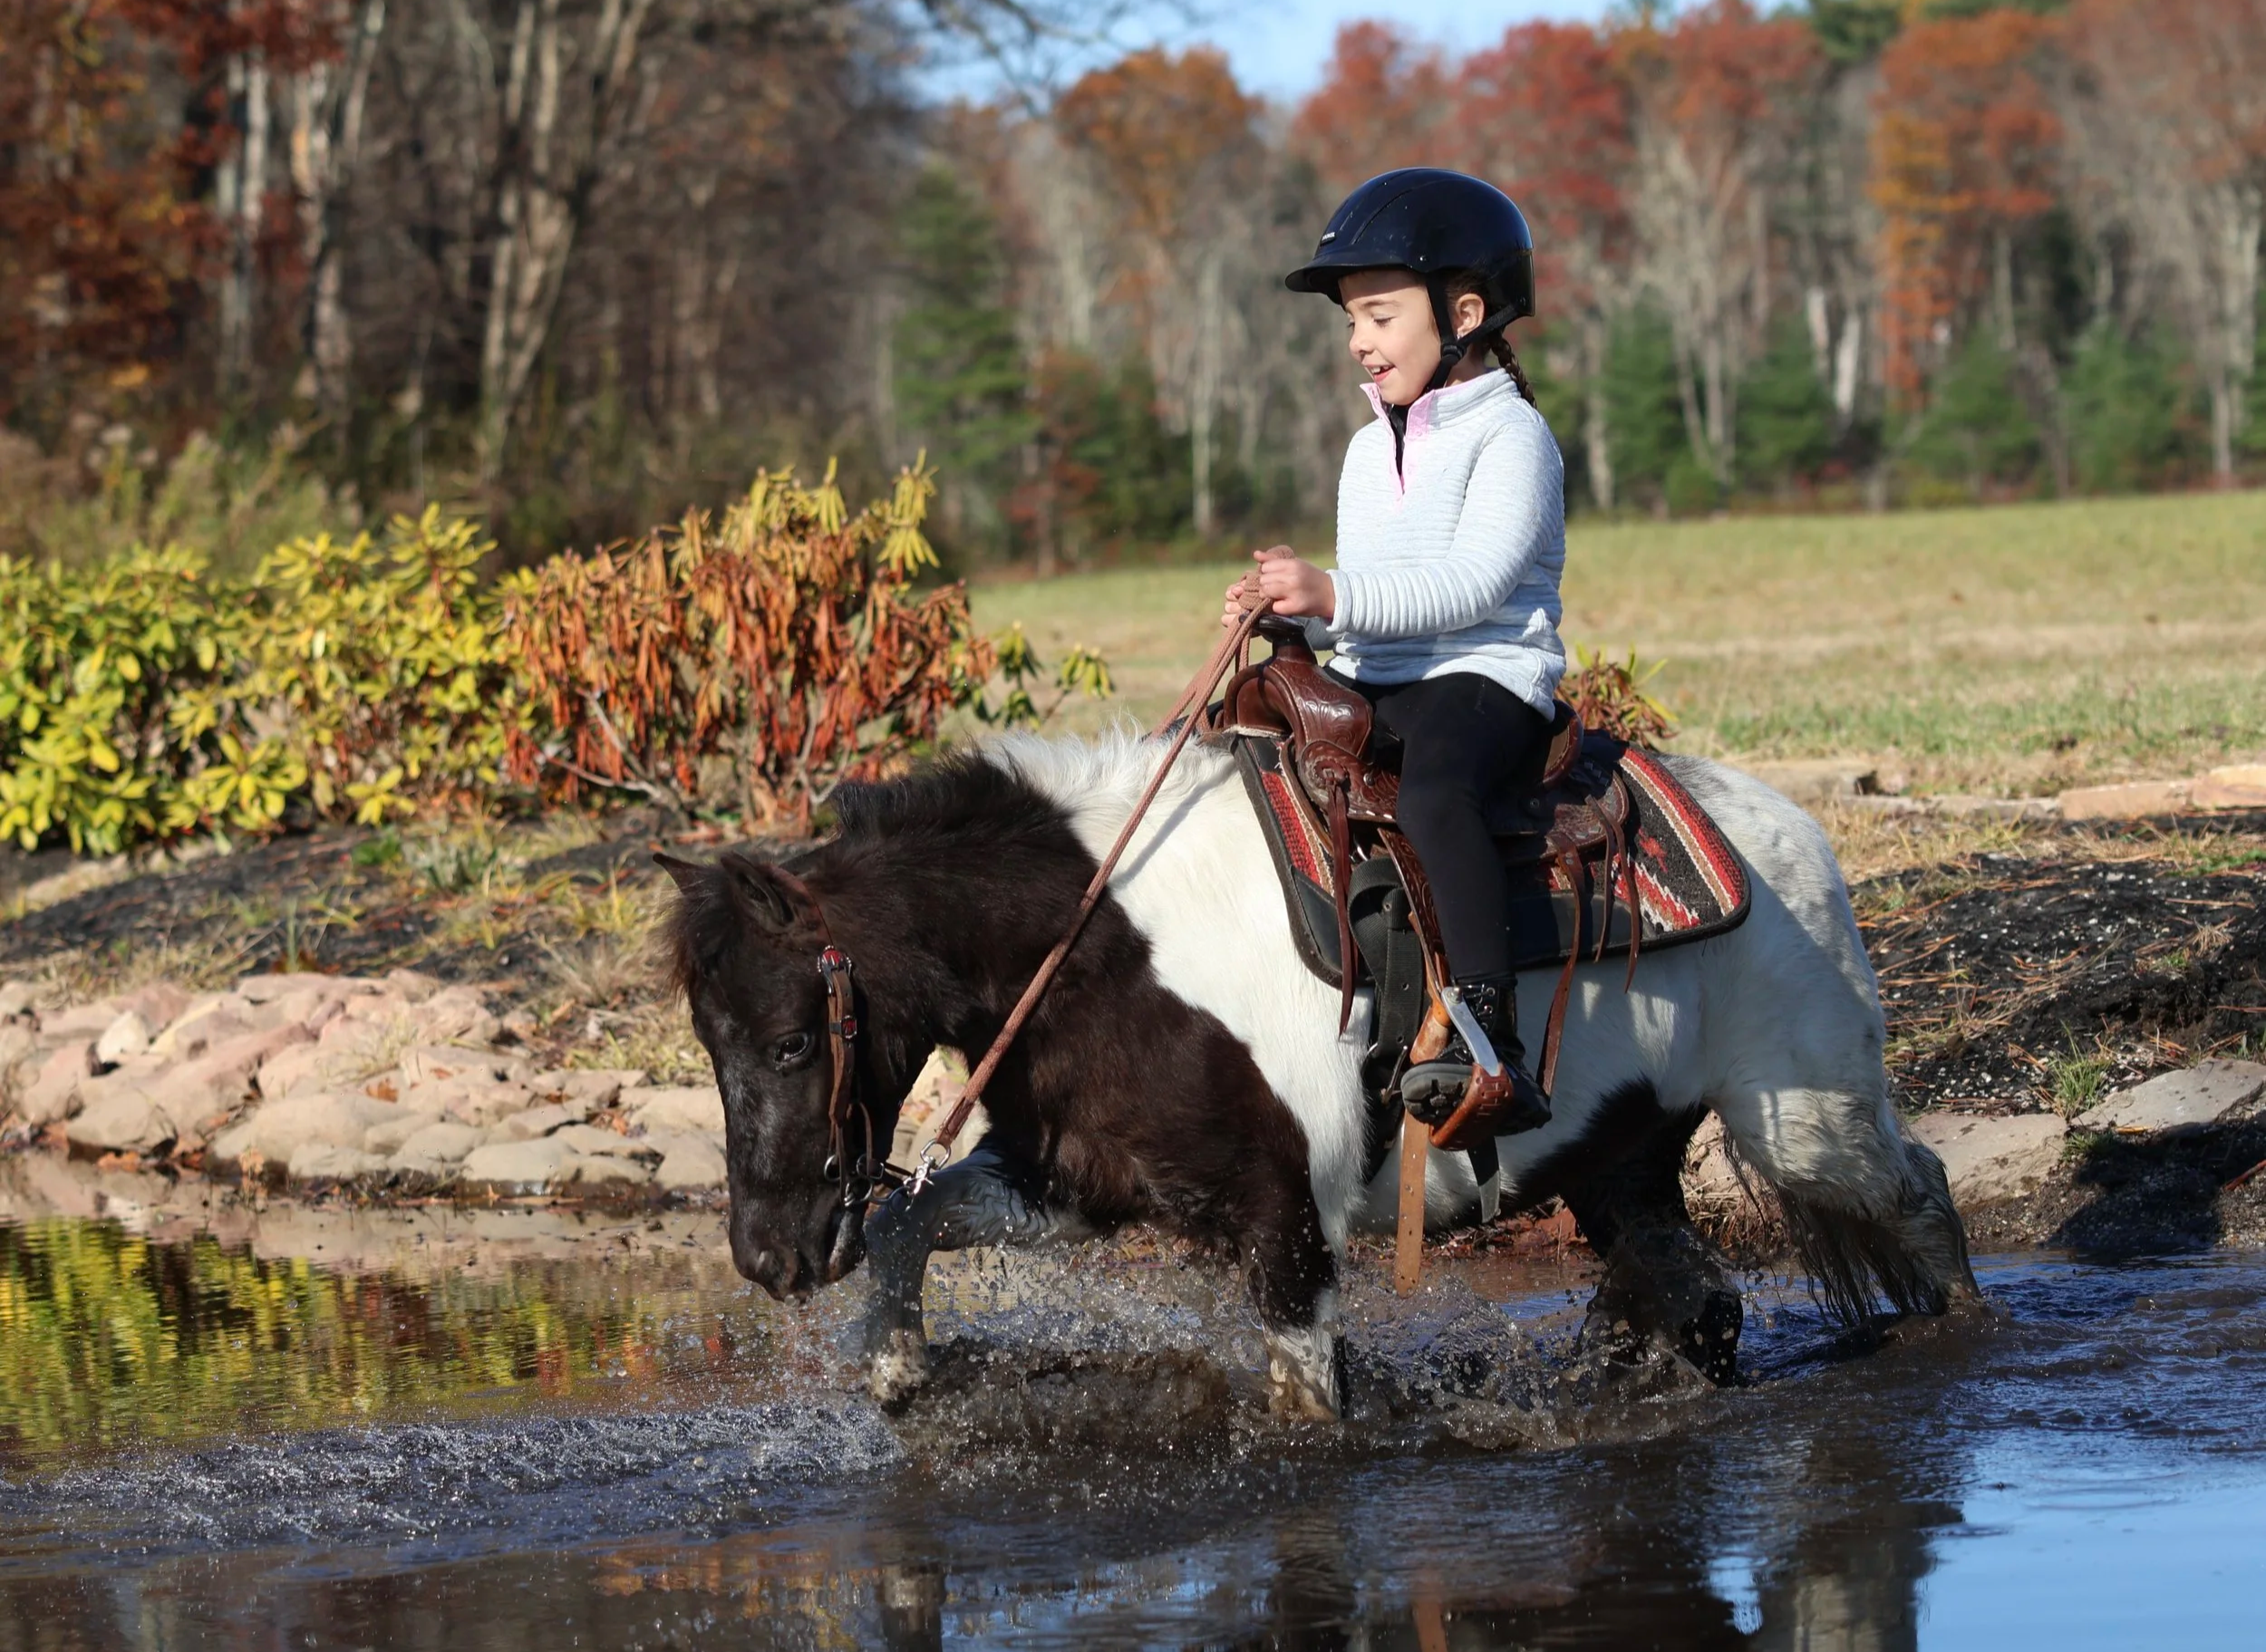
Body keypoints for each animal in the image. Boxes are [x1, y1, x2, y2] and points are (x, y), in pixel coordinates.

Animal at [658, 731, 1977, 1420]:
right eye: (710, 1045)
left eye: (789, 1041)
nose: (770, 1257)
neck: (1104, 949)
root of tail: (1787, 831)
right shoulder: (1080, 1184)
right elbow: (910, 1219)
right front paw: (894, 1366)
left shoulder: (1286, 1221)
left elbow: (1305, 1408)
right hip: (1624, 1157)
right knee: (1698, 1295)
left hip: (1803, 1118)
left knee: (1914, 1188)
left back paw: (1967, 1335)